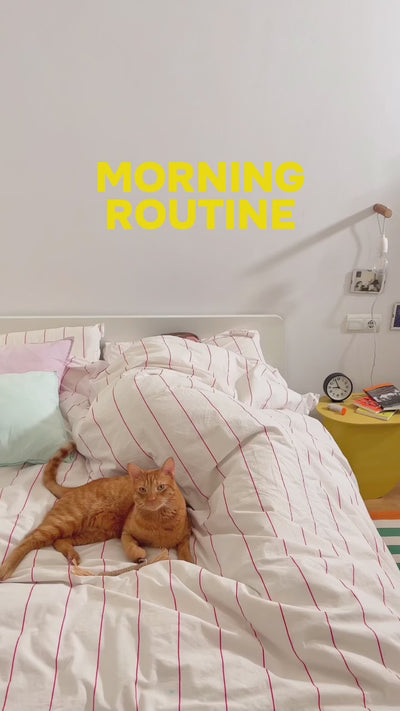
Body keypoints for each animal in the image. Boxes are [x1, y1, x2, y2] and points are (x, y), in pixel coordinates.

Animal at [0, 442, 193, 581]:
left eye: (160, 487)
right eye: (143, 490)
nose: (152, 499)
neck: (160, 521)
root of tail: (75, 488)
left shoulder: (185, 535)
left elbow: (185, 551)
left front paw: (190, 563)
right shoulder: (125, 532)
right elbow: (129, 547)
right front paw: (139, 554)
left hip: (93, 533)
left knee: (58, 541)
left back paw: (72, 555)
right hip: (66, 522)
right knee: (29, 540)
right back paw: (6, 569)